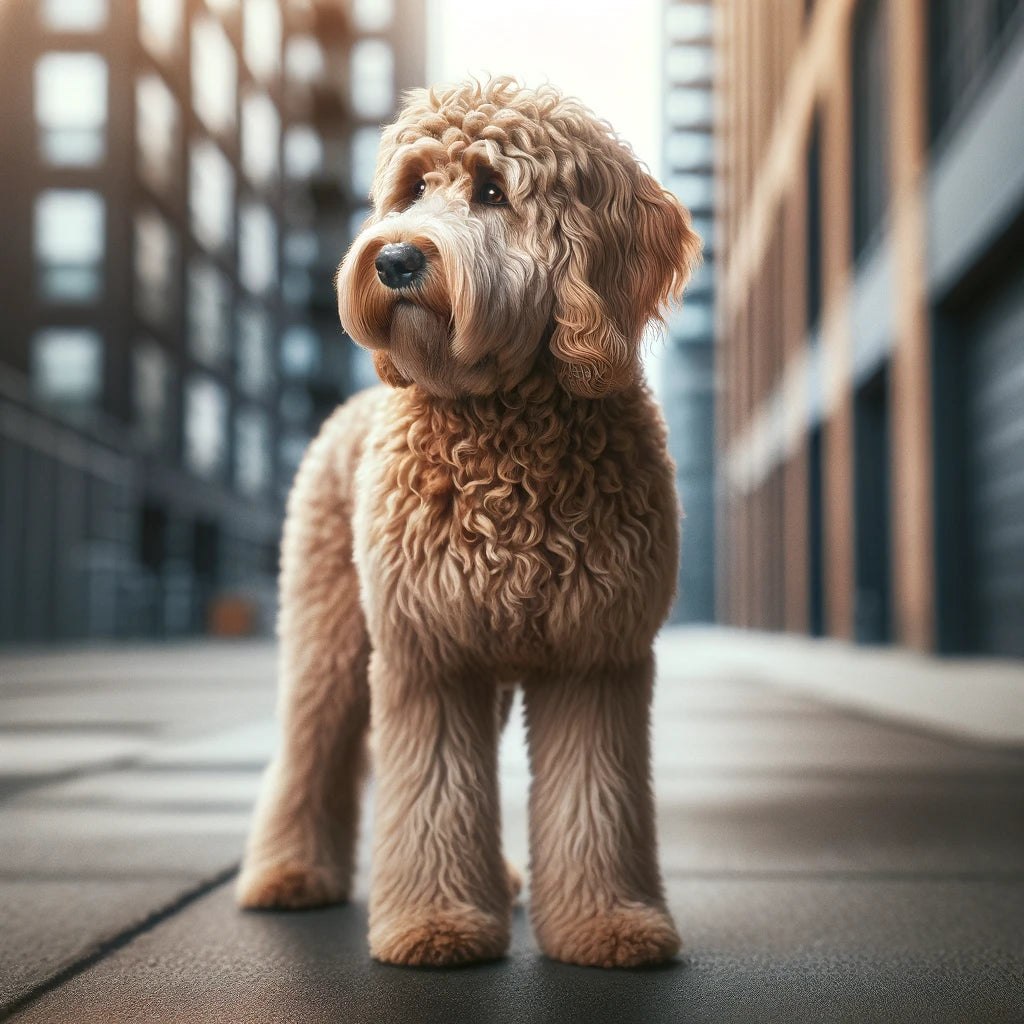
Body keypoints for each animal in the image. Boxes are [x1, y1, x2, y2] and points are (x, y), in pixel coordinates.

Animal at [238, 74, 700, 966]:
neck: (501, 424)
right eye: (413, 188)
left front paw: (606, 923)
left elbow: (595, 800)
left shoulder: (595, 655)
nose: (393, 258)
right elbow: (432, 792)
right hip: (332, 634)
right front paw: (437, 921)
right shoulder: (430, 653)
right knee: (309, 749)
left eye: (492, 191)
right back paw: (286, 876)